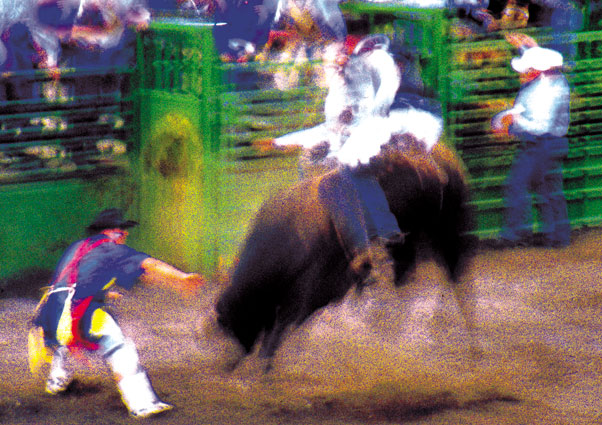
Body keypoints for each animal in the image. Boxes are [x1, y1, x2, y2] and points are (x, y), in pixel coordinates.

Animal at [210, 135, 474, 368]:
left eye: (237, 318)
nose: (231, 363)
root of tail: (444, 156)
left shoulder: (312, 285)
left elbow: (285, 323)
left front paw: (267, 361)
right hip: (409, 239)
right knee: (407, 274)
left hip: (447, 229)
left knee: (453, 272)